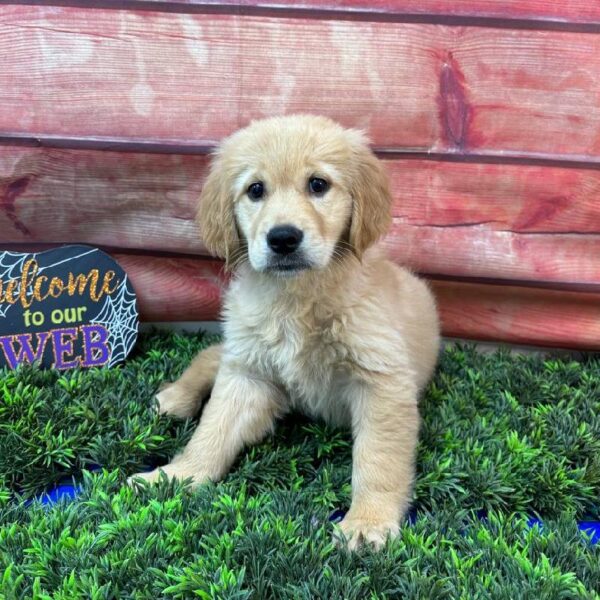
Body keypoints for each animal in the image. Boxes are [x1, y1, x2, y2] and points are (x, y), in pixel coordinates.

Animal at [132, 115, 440, 552]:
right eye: (255, 190)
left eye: (318, 184)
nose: (282, 238)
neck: (296, 297)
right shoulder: (248, 375)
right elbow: (213, 430)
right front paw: (178, 475)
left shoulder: (382, 381)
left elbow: (378, 460)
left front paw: (367, 522)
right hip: (240, 344)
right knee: (212, 355)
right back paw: (176, 396)